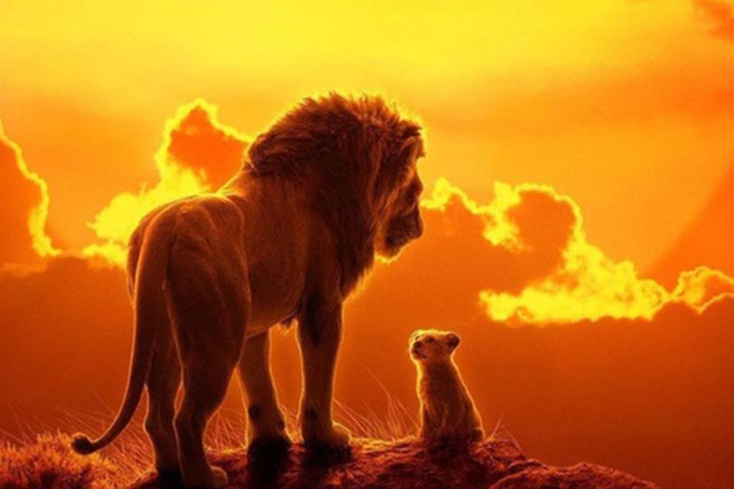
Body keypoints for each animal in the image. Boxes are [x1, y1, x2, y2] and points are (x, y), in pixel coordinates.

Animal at [71, 94, 425, 488]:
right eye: (415, 192)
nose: (420, 228)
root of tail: (164, 227)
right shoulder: (322, 304)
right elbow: (319, 379)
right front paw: (327, 440)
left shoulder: (251, 323)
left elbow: (257, 383)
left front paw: (270, 440)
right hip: (215, 340)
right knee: (187, 417)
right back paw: (206, 478)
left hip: (166, 333)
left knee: (158, 413)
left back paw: (171, 470)